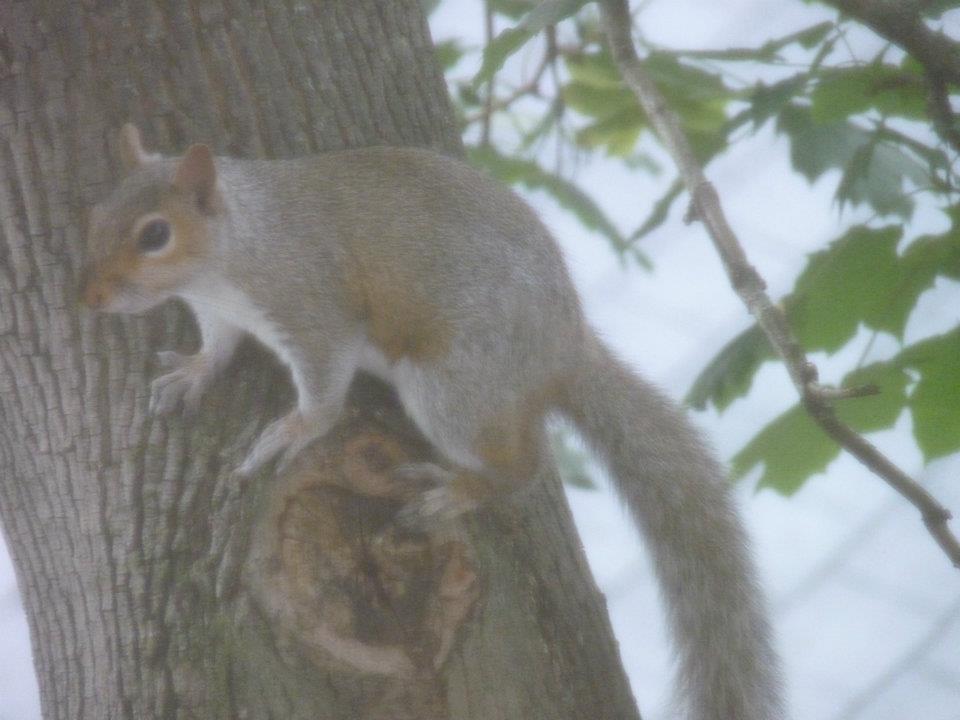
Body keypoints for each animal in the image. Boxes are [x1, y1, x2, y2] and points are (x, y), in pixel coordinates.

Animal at [80, 125, 788, 720]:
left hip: (449, 387)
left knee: (523, 465)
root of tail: (562, 353)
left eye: (154, 234)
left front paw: (292, 430)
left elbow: (324, 393)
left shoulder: (313, 310)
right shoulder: (222, 313)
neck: (234, 249)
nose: (90, 299)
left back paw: (454, 492)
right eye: (94, 214)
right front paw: (194, 372)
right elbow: (218, 347)